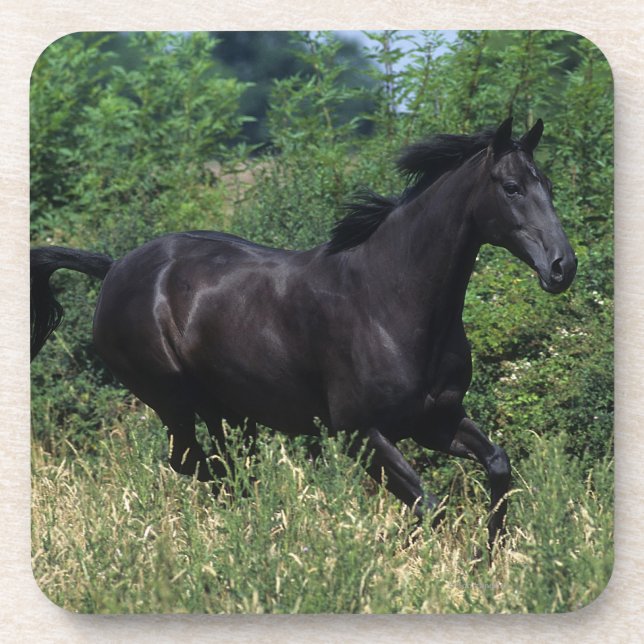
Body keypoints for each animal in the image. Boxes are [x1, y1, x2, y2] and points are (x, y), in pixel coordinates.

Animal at [31, 117, 577, 552]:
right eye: (511, 187)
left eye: (548, 184)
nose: (562, 266)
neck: (388, 299)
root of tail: (115, 267)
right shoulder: (361, 434)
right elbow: (430, 504)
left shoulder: (434, 420)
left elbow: (497, 466)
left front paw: (490, 559)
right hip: (173, 401)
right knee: (200, 466)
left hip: (227, 410)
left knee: (228, 467)